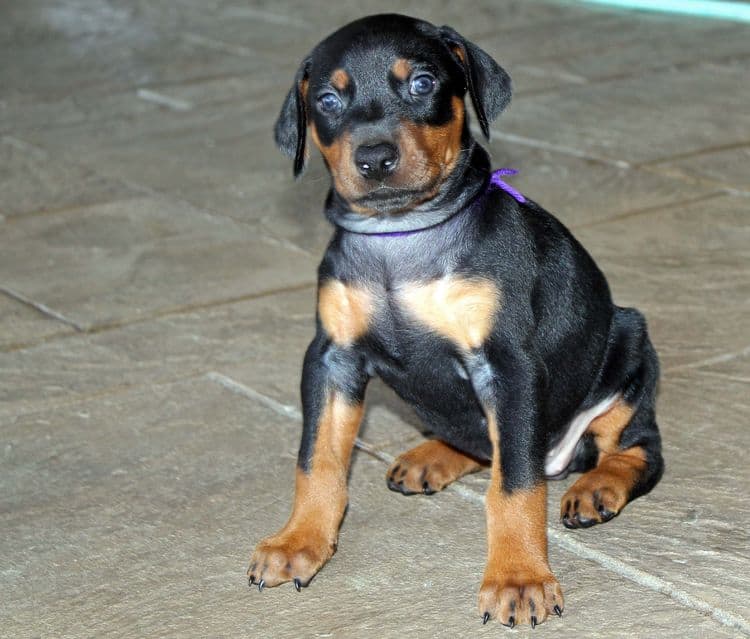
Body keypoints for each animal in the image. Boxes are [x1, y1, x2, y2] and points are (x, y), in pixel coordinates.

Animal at [251, 13, 664, 632]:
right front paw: (299, 540)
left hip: (629, 345)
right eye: (326, 99)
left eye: (422, 83)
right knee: (481, 443)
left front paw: (518, 579)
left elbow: (515, 484)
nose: (374, 159)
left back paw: (598, 488)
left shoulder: (509, 367)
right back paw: (433, 455)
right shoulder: (332, 356)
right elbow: (317, 458)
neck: (401, 237)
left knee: (637, 449)